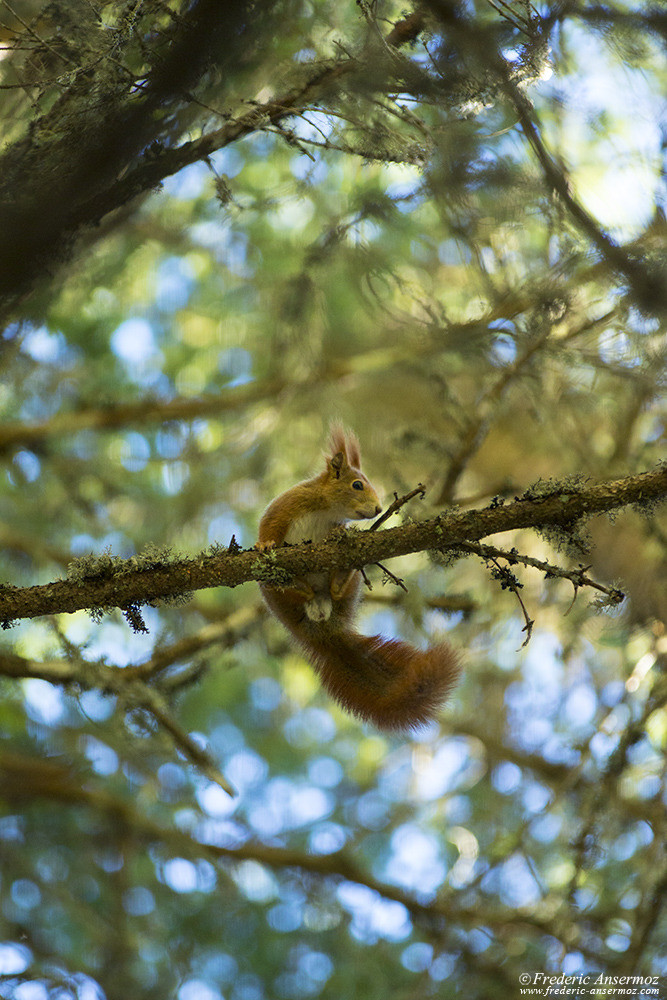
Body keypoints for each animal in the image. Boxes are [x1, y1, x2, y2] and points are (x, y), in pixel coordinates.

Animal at [258, 426, 460, 732]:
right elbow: (269, 528)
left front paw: (338, 534)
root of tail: (322, 628)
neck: (325, 509)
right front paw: (265, 545)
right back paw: (293, 582)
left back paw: (339, 576)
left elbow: (337, 531)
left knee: (336, 590)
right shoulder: (284, 508)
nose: (377, 509)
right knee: (289, 588)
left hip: (347, 590)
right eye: (357, 485)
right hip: (274, 595)